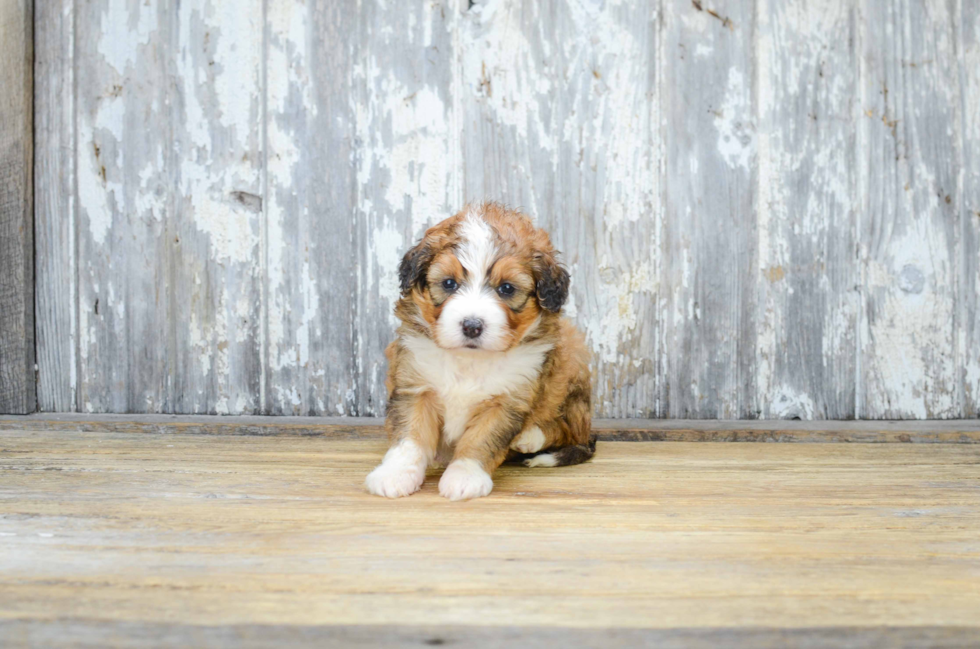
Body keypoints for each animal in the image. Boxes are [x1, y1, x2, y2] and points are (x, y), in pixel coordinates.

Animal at [366, 202, 592, 502]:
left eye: (506, 288)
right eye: (449, 284)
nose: (472, 326)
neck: (469, 359)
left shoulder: (506, 402)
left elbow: (481, 439)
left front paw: (464, 476)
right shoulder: (415, 386)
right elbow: (409, 436)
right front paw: (396, 474)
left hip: (572, 369)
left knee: (570, 431)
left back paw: (529, 437)